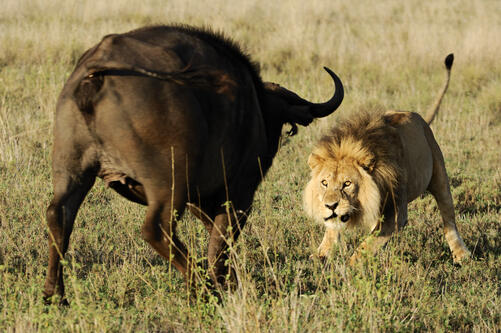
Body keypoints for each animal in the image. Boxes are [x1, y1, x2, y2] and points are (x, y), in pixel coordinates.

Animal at [44, 24, 344, 302]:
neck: (252, 105)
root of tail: (97, 71)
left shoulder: (201, 200)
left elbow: (217, 239)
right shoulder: (238, 194)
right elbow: (220, 243)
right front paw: (225, 285)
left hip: (72, 170)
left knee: (58, 215)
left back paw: (55, 295)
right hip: (170, 185)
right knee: (156, 230)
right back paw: (203, 288)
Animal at [302, 53, 470, 264]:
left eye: (347, 184)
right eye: (324, 183)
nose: (331, 205)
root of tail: (419, 118)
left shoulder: (396, 214)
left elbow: (367, 245)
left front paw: (350, 267)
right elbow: (332, 231)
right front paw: (320, 257)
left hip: (439, 176)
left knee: (449, 218)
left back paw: (461, 255)